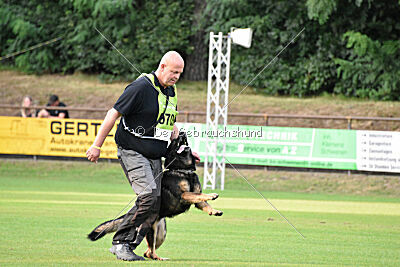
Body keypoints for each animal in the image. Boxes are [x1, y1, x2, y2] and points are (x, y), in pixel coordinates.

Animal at [86, 133, 222, 260]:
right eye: (174, 141)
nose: (182, 132)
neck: (183, 170)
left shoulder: (196, 202)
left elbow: (203, 201)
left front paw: (214, 211)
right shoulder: (183, 195)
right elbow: (199, 194)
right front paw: (212, 195)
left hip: (161, 234)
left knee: (148, 252)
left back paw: (159, 258)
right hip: (149, 230)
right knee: (147, 250)